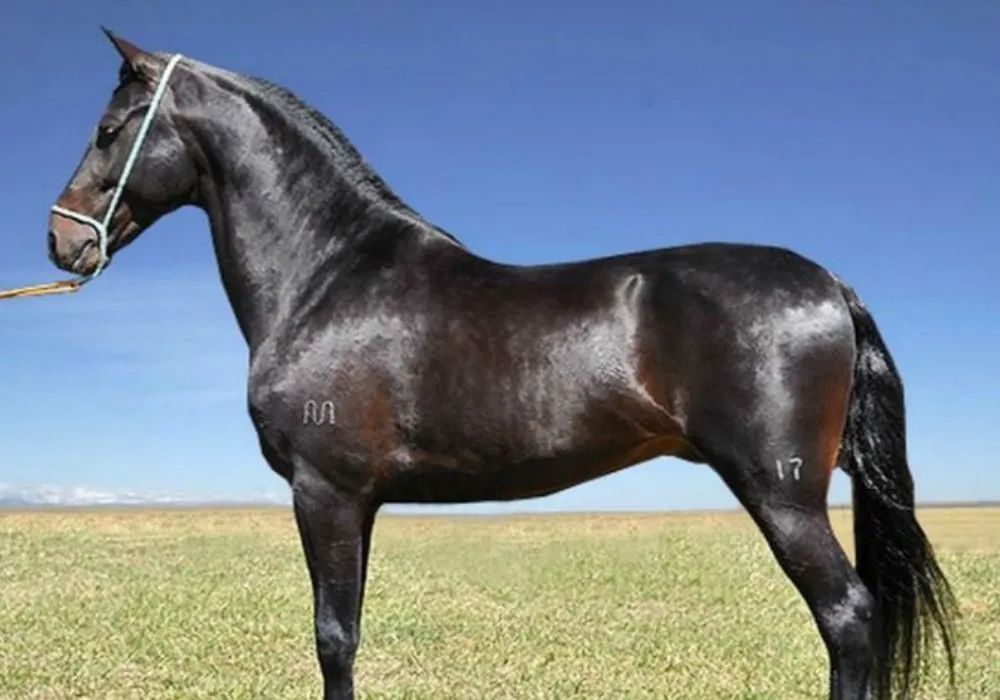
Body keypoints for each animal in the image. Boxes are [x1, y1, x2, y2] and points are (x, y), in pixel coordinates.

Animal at [44, 29, 957, 700]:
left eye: (110, 129)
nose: (60, 238)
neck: (329, 273)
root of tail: (828, 282)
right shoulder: (357, 501)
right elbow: (349, 630)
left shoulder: (324, 491)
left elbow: (333, 638)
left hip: (782, 493)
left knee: (847, 616)